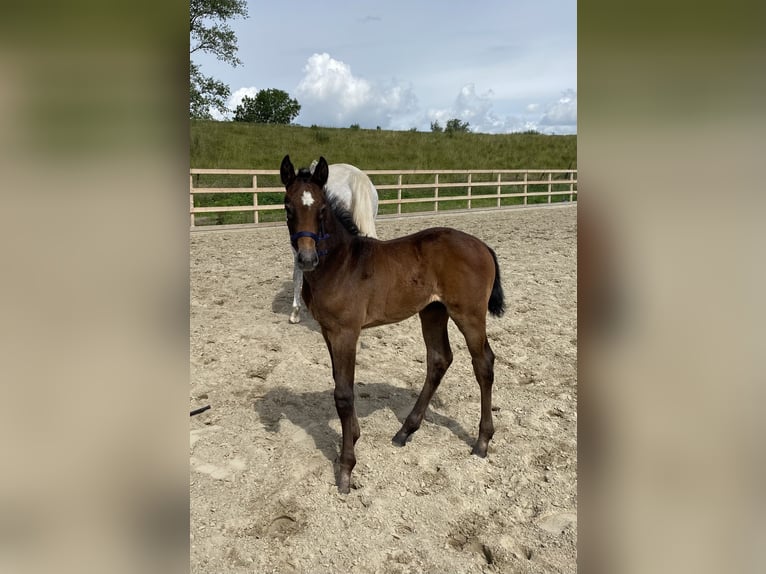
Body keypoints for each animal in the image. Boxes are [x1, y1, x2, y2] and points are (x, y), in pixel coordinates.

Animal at [280, 156, 508, 496]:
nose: (306, 259)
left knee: (483, 364)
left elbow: (343, 394)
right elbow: (339, 383)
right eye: (288, 206)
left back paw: (481, 442)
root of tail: (482, 246)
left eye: (321, 208)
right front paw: (354, 437)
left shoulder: (346, 332)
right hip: (433, 311)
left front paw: (346, 469)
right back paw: (405, 431)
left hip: (468, 314)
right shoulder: (327, 330)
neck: (340, 263)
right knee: (439, 359)